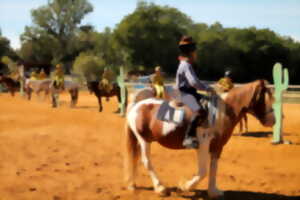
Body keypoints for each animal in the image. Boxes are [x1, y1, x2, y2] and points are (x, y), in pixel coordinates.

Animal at [123, 79, 274, 198]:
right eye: (264, 98)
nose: (273, 120)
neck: (220, 113)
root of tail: (137, 105)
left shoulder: (217, 147)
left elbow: (213, 168)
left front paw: (213, 191)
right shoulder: (203, 145)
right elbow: (203, 172)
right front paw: (185, 187)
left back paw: (133, 184)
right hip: (144, 140)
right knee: (146, 161)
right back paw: (161, 188)